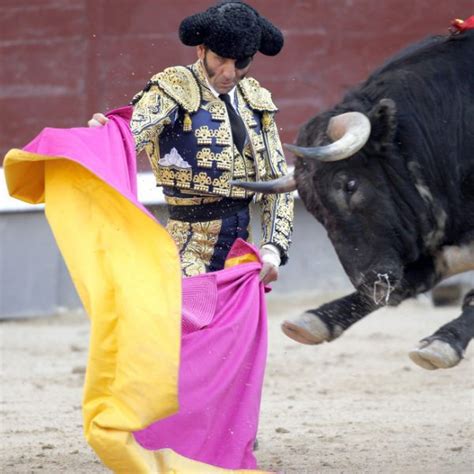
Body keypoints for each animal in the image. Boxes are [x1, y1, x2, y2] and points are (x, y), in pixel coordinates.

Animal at [234, 27, 474, 370]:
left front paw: (443, 343)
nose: (367, 282)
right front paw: (315, 320)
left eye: (349, 184)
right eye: (313, 209)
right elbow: (414, 277)